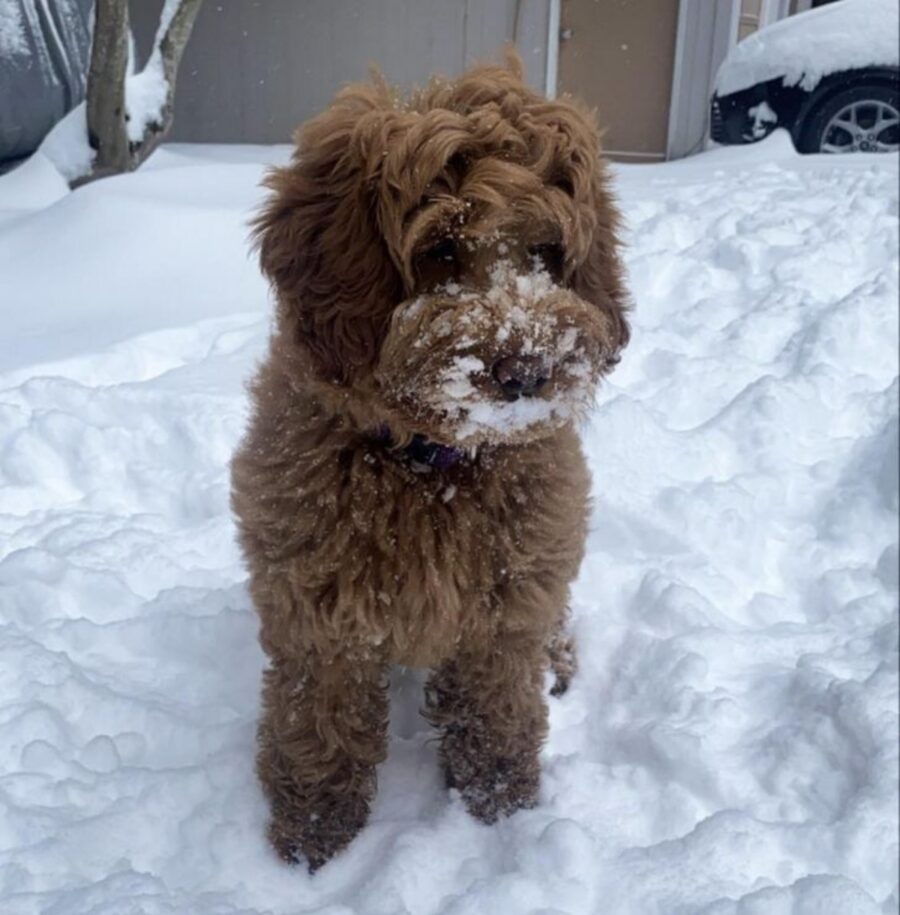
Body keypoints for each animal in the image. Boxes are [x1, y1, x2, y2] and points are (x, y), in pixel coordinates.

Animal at [229, 52, 628, 872]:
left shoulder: (509, 604)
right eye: (440, 248)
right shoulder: (315, 610)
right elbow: (318, 720)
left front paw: (501, 807)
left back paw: (560, 659)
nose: (527, 370)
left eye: (547, 252)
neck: (434, 467)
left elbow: (497, 709)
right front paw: (313, 835)